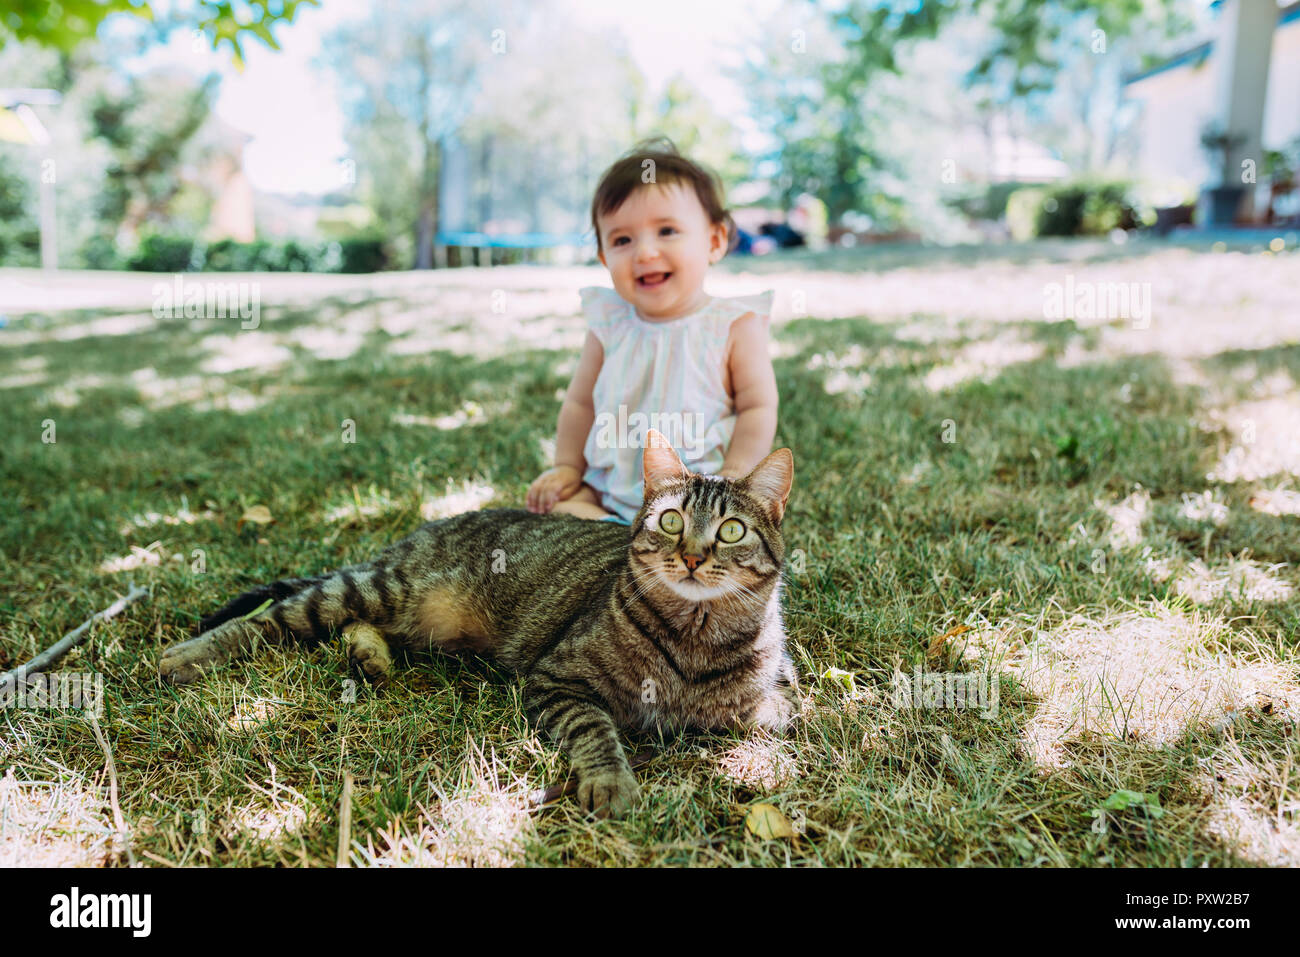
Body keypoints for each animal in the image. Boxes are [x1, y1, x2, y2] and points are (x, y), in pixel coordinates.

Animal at [157, 429, 795, 816]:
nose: (691, 557)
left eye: (731, 530)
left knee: (355, 628)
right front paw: (612, 782)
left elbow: (768, 720)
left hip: (413, 621)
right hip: (375, 590)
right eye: (670, 521)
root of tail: (416, 533)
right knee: (271, 620)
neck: (693, 638)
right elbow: (596, 731)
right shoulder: (557, 679)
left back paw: (370, 656)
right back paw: (187, 656)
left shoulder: (776, 700)